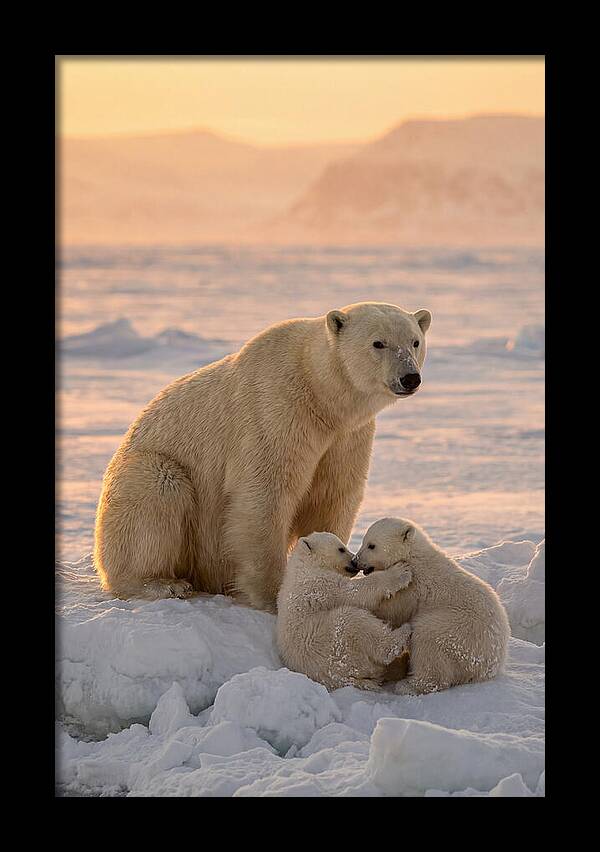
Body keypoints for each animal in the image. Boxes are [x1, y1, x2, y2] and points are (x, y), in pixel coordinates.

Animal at [94, 302, 432, 611]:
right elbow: (265, 494)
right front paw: (273, 595)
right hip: (147, 471)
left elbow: (332, 494)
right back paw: (162, 583)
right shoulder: (275, 411)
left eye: (414, 341)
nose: (410, 377)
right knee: (157, 491)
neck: (320, 394)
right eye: (378, 343)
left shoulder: (347, 437)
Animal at [276, 532, 413, 690]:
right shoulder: (319, 584)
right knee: (354, 622)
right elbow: (354, 592)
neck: (305, 565)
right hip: (333, 645)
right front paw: (400, 571)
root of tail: (343, 679)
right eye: (341, 549)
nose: (354, 561)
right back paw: (403, 632)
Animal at [353, 518, 511, 695]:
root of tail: (490, 667)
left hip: (459, 631)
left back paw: (408, 685)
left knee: (427, 638)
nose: (355, 561)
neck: (412, 556)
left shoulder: (413, 587)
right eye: (364, 541)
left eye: (372, 545)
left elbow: (393, 609)